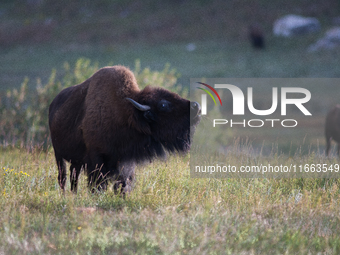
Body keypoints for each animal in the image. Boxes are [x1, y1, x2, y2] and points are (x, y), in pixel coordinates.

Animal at [49, 65, 201, 193]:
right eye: (163, 105)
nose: (197, 106)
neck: (126, 113)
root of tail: (53, 104)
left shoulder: (126, 160)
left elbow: (123, 183)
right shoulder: (96, 158)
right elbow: (99, 183)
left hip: (75, 160)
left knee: (73, 176)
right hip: (59, 155)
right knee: (63, 177)